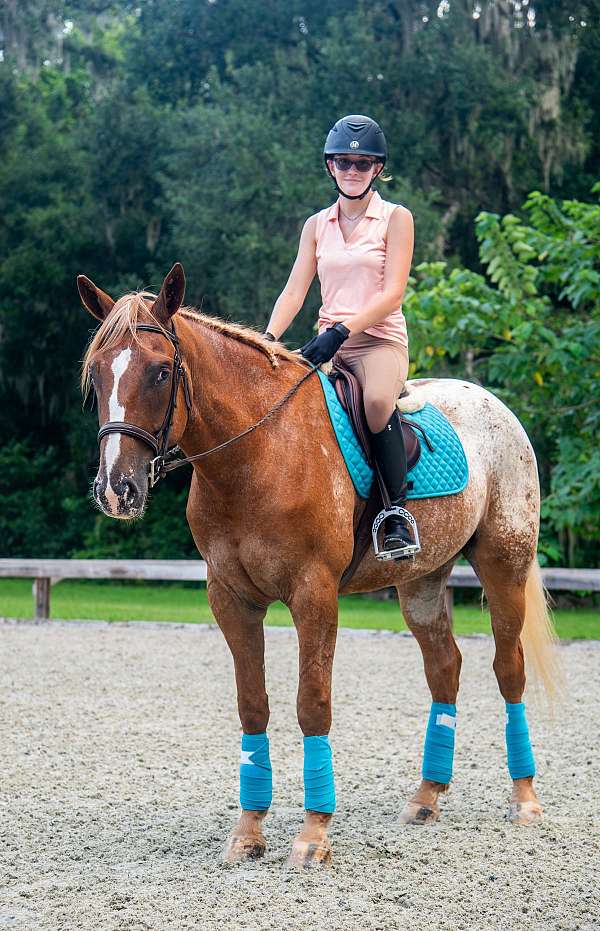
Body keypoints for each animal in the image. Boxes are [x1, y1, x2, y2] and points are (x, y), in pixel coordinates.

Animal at [78, 262, 560, 867]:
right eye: (97, 376)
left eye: (162, 372)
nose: (116, 490)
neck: (257, 454)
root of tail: (492, 404)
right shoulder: (230, 600)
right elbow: (252, 706)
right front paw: (249, 832)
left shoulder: (314, 595)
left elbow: (313, 704)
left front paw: (313, 835)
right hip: (422, 579)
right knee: (444, 668)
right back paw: (426, 797)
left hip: (504, 564)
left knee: (508, 668)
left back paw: (526, 799)